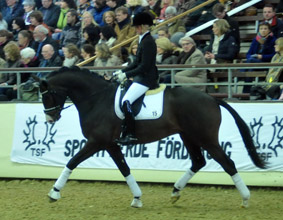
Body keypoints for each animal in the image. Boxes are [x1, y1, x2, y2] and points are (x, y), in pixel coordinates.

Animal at [40, 67, 266, 208]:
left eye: (47, 95)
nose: (50, 118)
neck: (97, 99)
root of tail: (212, 99)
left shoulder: (96, 142)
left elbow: (72, 162)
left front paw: (54, 193)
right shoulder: (111, 144)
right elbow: (124, 169)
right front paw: (137, 198)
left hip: (206, 138)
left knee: (227, 163)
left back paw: (245, 199)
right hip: (188, 136)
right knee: (198, 162)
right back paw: (175, 192)